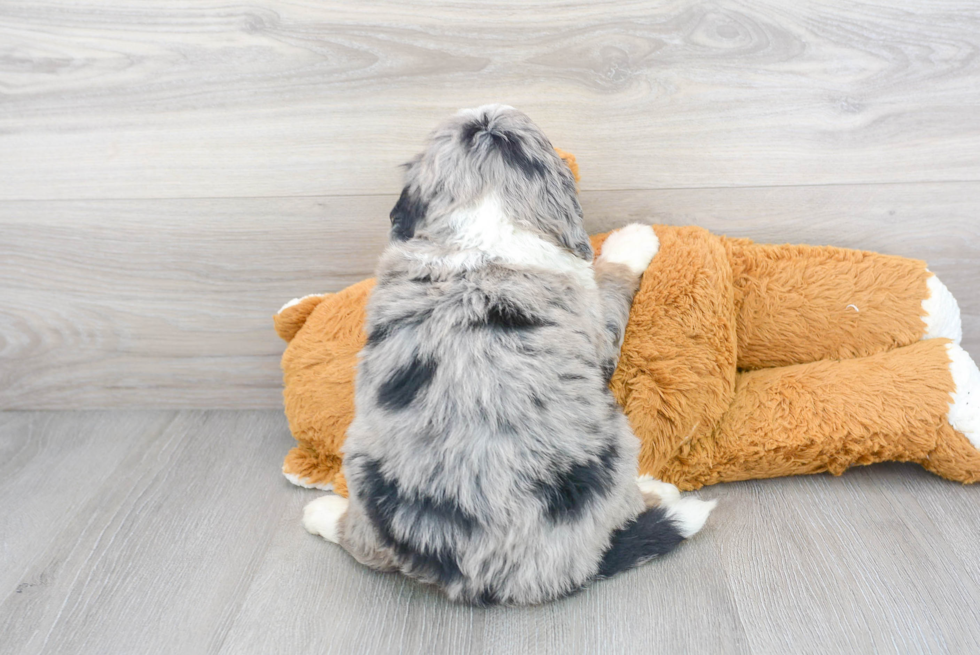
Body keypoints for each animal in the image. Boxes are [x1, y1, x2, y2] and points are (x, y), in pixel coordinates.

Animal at [302, 105, 716, 608]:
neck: (483, 225)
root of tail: (492, 578)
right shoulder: (595, 322)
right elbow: (610, 278)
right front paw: (632, 241)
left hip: (362, 464)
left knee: (364, 545)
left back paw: (322, 511)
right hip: (614, 451)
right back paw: (660, 490)